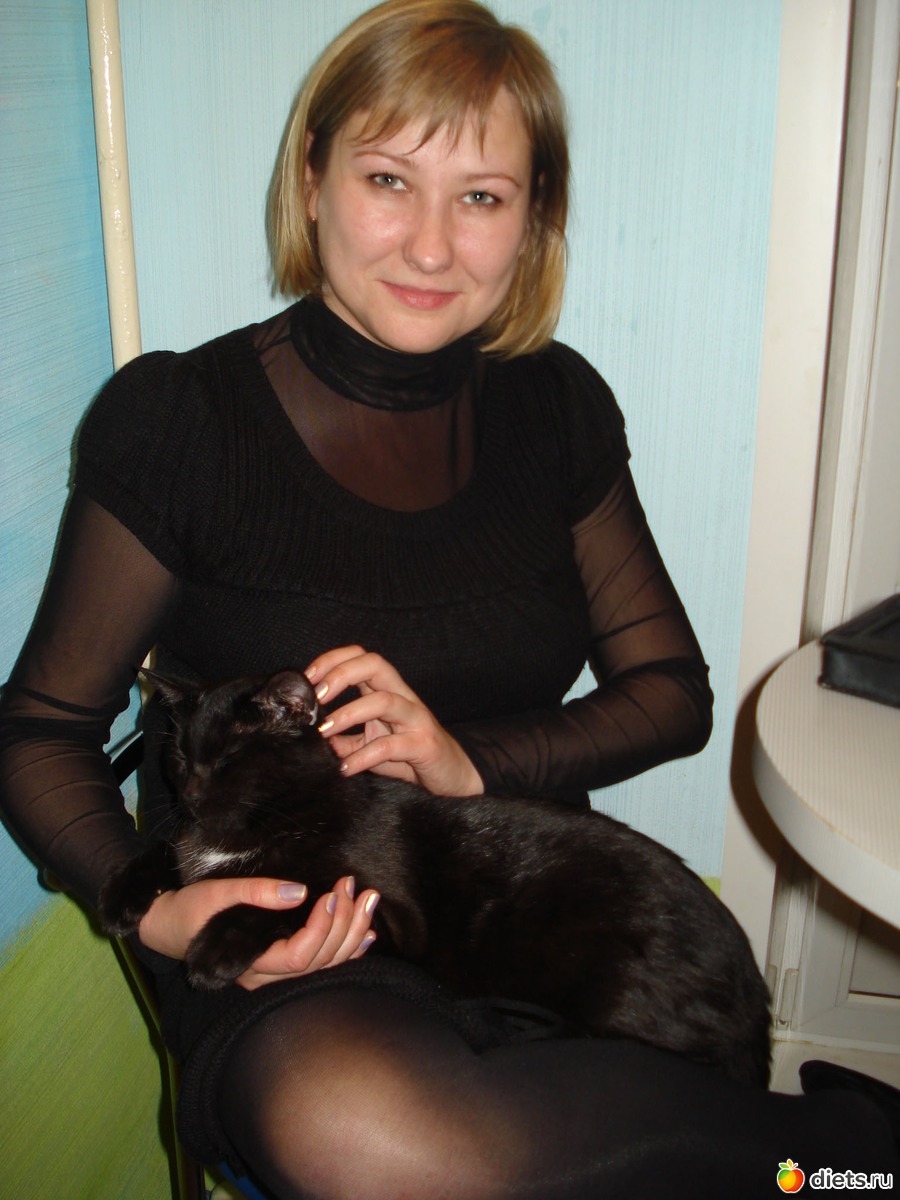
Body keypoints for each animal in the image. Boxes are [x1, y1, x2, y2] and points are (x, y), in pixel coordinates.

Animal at [98, 667, 771, 1086]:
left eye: (231, 760)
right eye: (179, 755)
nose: (189, 794)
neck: (257, 826)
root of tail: (754, 994)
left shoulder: (386, 913)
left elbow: (296, 894)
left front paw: (212, 951)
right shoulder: (192, 846)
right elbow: (166, 854)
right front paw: (120, 899)